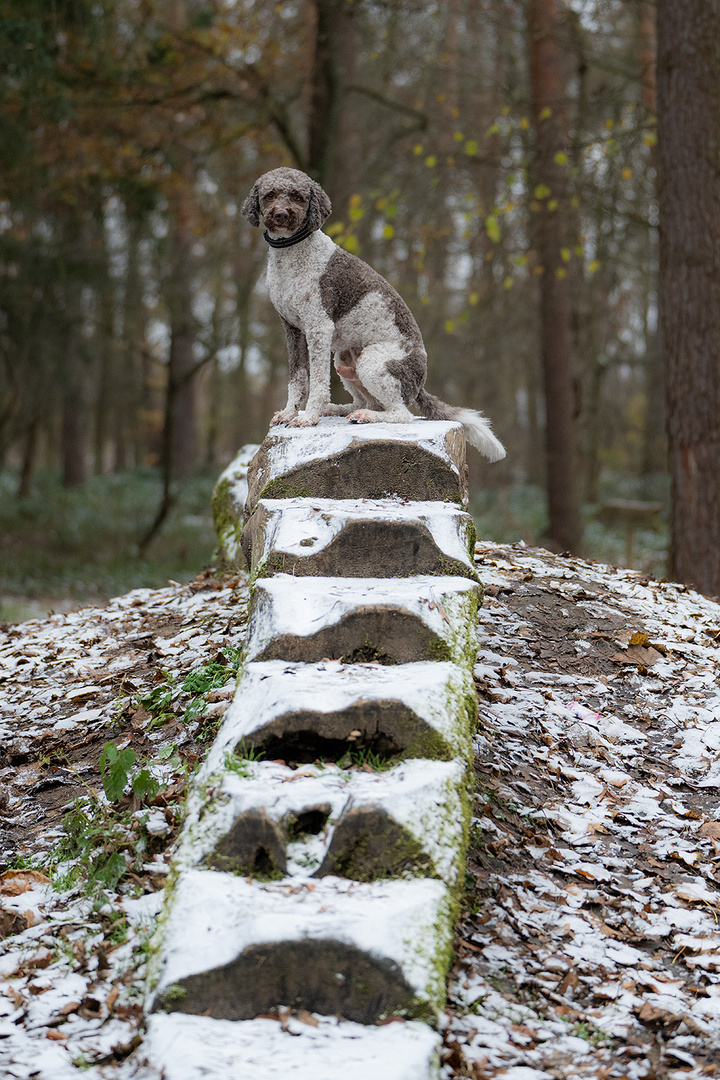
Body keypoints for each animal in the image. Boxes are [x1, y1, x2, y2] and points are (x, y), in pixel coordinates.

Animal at [241, 166, 507, 462]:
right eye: (270, 195)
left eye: (298, 196)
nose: (281, 215)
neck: (292, 255)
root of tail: (419, 383)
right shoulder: (292, 328)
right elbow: (297, 378)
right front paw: (290, 412)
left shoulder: (318, 327)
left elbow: (318, 381)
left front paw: (308, 417)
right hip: (344, 360)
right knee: (367, 401)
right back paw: (340, 409)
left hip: (373, 361)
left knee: (401, 414)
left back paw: (363, 415)